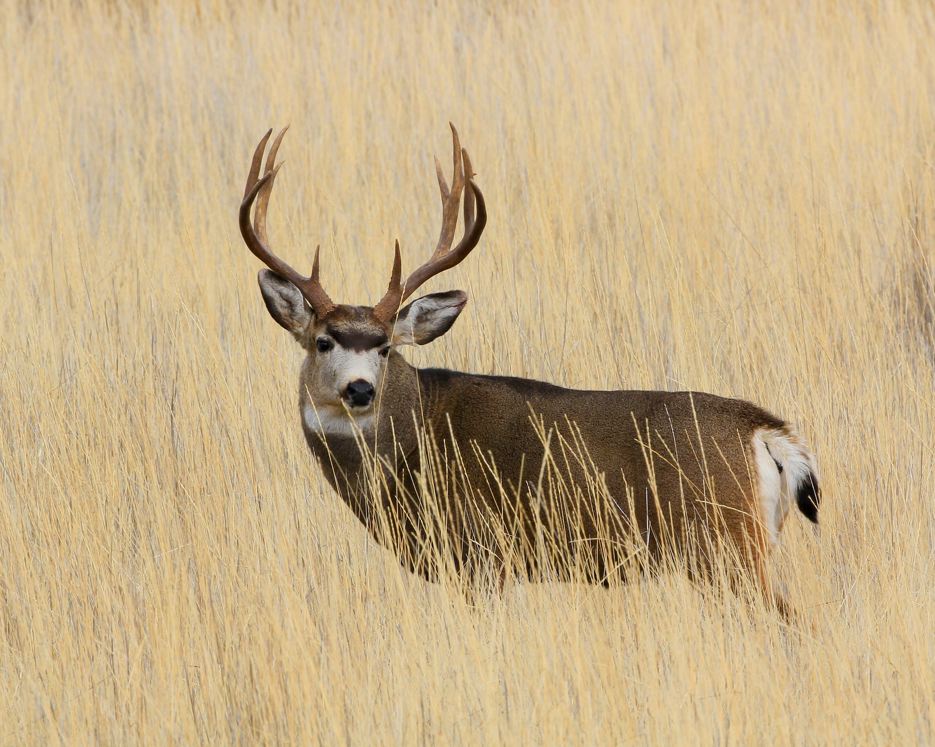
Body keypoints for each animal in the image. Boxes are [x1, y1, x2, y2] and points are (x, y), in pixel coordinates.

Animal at [239, 122, 820, 612]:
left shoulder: (481, 552)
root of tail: (766, 432)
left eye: (383, 347)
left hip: (726, 541)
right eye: (323, 341)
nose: (359, 389)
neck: (412, 437)